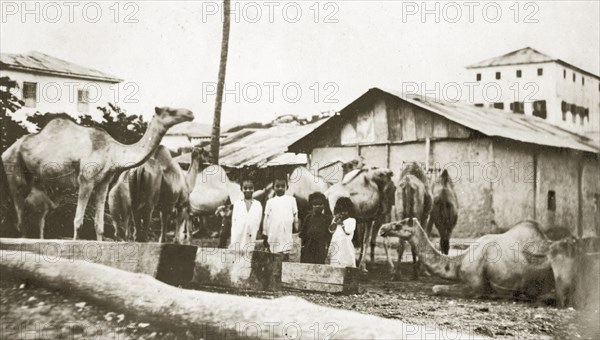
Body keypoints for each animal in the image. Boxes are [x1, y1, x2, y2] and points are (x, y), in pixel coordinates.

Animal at [2, 107, 193, 240]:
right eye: (170, 110)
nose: (190, 113)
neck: (113, 152)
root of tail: (6, 151)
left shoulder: (103, 183)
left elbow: (99, 224)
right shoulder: (86, 180)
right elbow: (78, 221)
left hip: (30, 176)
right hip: (13, 167)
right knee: (18, 208)